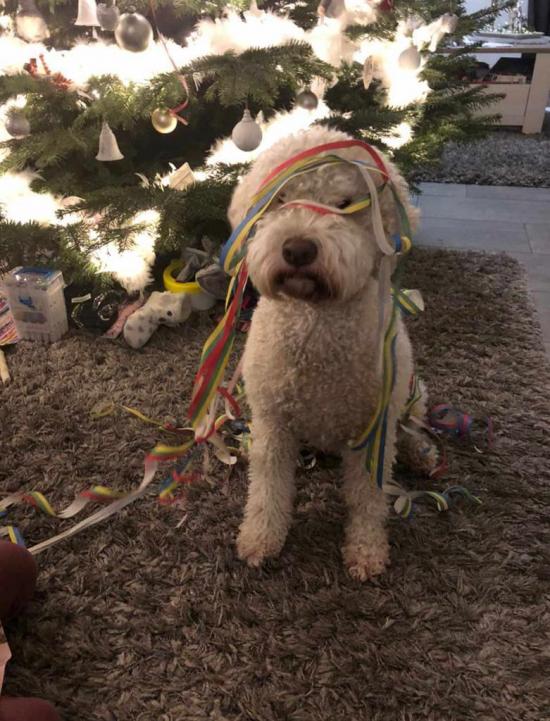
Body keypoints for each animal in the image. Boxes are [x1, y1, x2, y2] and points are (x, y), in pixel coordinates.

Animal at [229, 125, 436, 580]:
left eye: (345, 205)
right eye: (281, 200)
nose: (298, 249)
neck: (316, 322)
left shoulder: (374, 428)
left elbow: (368, 496)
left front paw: (366, 549)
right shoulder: (273, 421)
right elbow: (267, 487)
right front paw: (261, 539)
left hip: (411, 394)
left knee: (411, 426)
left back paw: (420, 453)